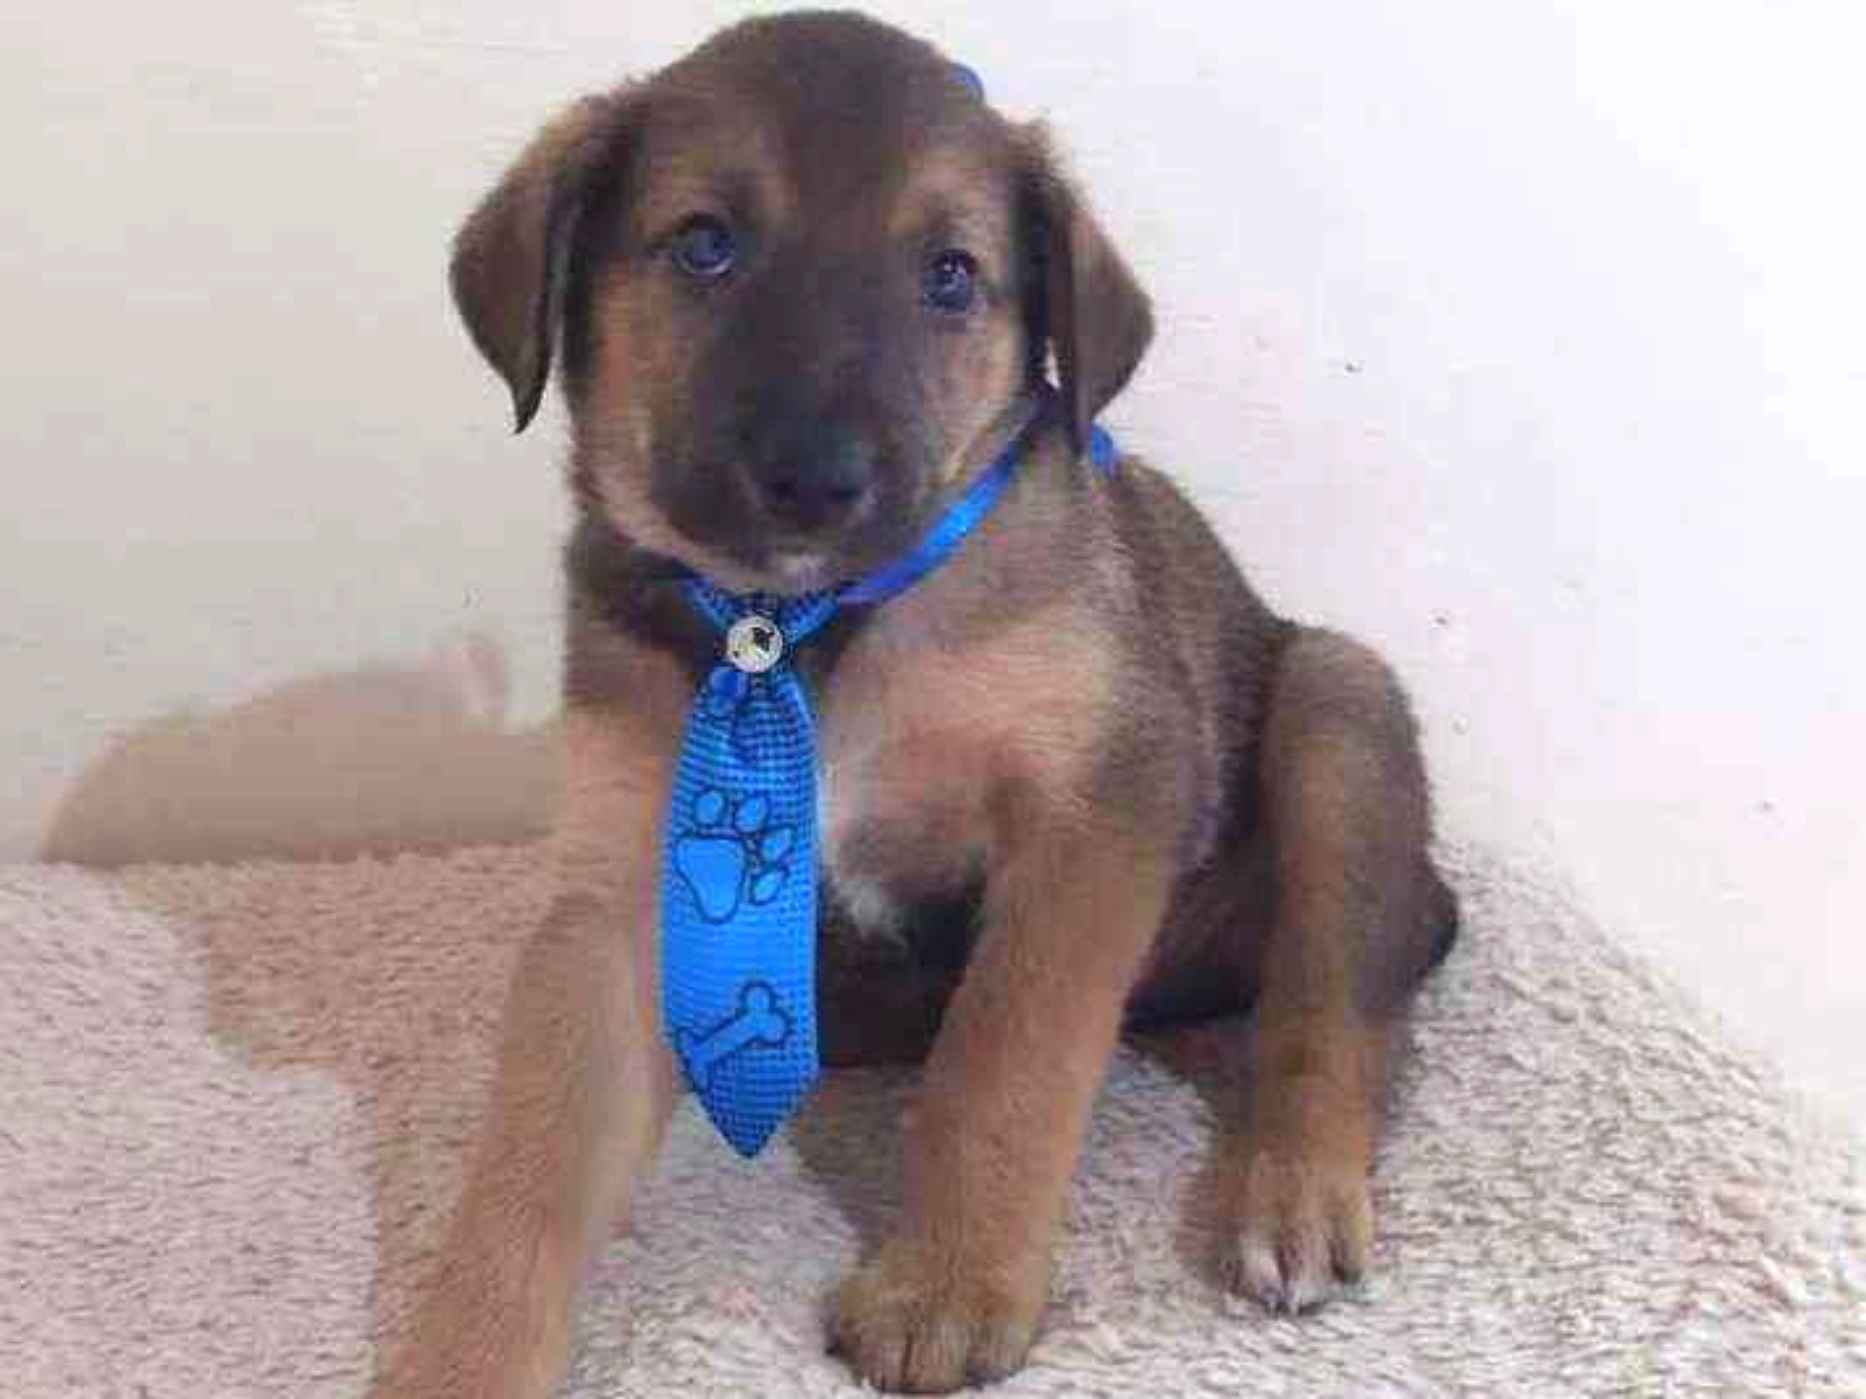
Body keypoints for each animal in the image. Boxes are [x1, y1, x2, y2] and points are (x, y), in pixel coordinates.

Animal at [382, 12, 1456, 1395]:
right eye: (703, 243)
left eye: (951, 276)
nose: (813, 478)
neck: (796, 628)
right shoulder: (623, 894)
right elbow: (525, 1174)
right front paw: (459, 1356)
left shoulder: (1099, 810)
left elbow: (1004, 1062)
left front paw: (947, 1284)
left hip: (1337, 708)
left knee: (1336, 1003)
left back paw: (1293, 1194)